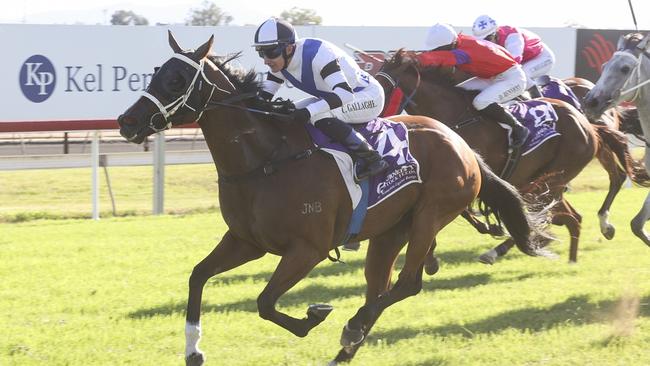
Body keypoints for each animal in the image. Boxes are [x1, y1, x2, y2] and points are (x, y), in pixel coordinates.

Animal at [116, 33, 548, 364]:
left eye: (177, 79)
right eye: (157, 73)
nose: (126, 122)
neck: (265, 161)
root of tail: (459, 141)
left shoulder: (307, 249)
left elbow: (265, 302)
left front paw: (314, 314)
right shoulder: (246, 242)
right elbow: (198, 276)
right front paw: (193, 350)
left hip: (431, 215)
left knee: (407, 283)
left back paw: (353, 326)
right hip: (390, 232)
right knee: (381, 286)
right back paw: (348, 343)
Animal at [374, 50, 644, 264]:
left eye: (383, 87)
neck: (457, 116)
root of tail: (588, 125)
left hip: (550, 177)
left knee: (549, 208)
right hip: (546, 180)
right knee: (567, 215)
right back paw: (570, 256)